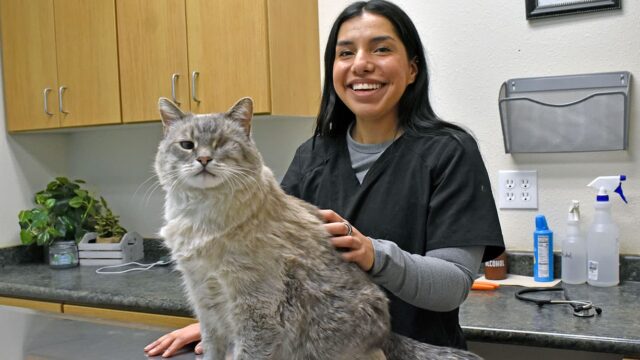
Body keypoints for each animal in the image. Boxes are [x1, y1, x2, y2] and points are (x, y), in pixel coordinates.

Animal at [152, 97, 478, 360]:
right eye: (187, 145)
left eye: (221, 144)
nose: (204, 159)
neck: (202, 217)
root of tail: (387, 334)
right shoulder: (205, 303)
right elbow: (211, 350)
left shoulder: (254, 312)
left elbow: (248, 352)